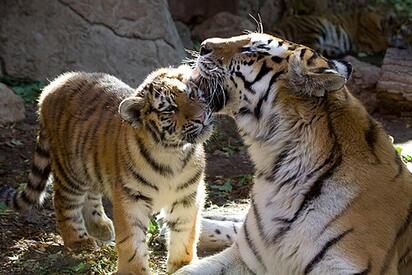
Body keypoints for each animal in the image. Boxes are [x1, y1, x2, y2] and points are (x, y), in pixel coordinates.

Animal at [1, 66, 214, 274]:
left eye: (192, 95)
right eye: (170, 109)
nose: (201, 117)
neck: (172, 154)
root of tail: (54, 84)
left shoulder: (187, 196)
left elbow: (185, 232)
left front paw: (183, 265)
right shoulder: (131, 198)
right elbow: (132, 240)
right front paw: (133, 271)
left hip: (90, 166)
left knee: (91, 195)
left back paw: (99, 226)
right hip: (70, 172)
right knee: (64, 203)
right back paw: (78, 241)